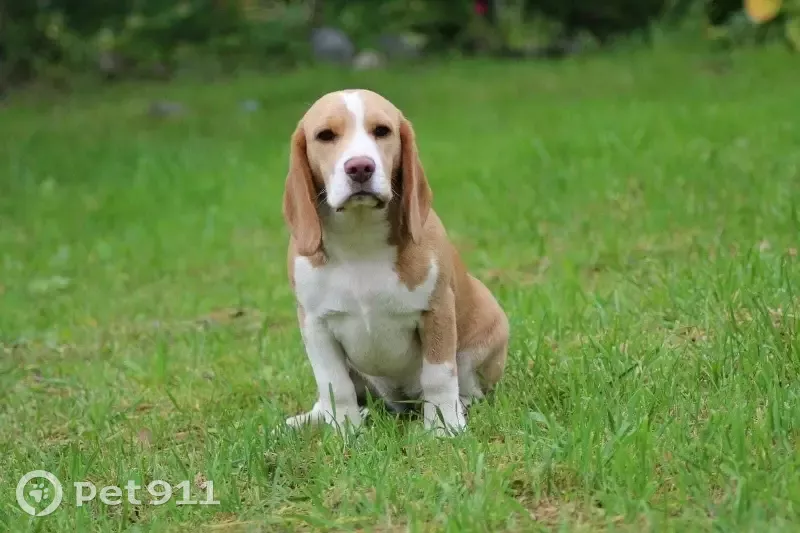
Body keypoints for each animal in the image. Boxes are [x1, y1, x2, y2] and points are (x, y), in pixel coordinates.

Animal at [281, 89, 509, 436]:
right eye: (325, 136)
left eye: (382, 131)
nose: (360, 167)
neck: (360, 236)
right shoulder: (314, 324)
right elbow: (334, 384)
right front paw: (346, 432)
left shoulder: (437, 311)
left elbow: (439, 376)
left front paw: (443, 427)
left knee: (466, 384)